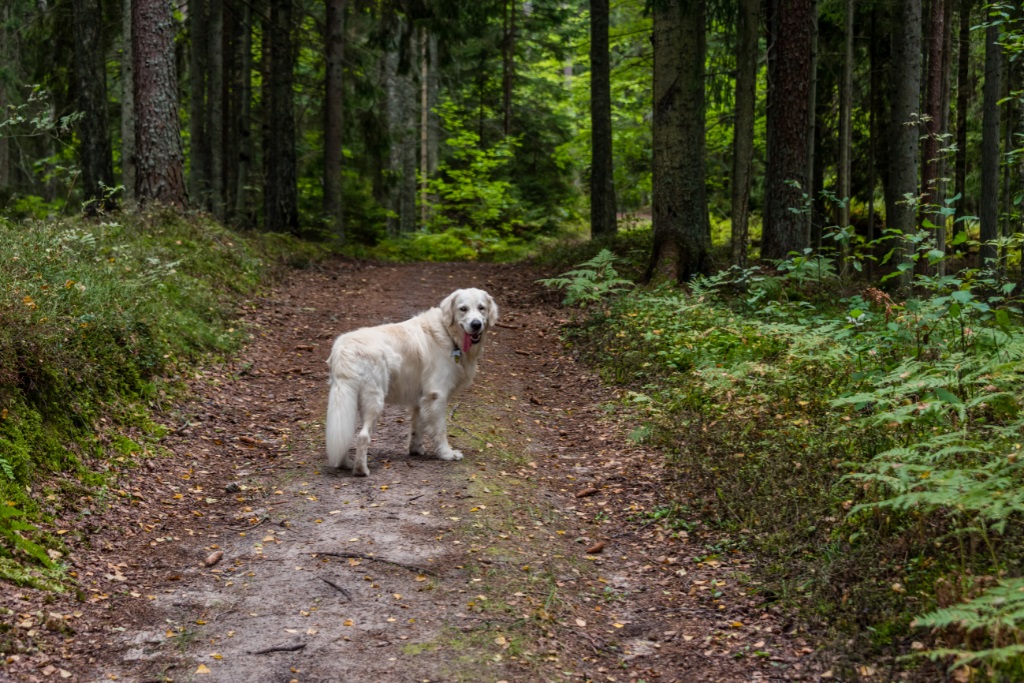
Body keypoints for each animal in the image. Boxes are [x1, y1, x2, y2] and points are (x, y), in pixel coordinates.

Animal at [319, 286, 495, 475]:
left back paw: (345, 464)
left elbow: (417, 427)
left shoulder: (421, 399)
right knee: (363, 436)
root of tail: (345, 347)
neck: (448, 334)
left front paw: (416, 450)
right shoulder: (437, 396)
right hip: (374, 400)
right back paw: (361, 470)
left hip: (349, 401)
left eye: (482, 308)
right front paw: (447, 453)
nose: (476, 324)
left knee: (345, 435)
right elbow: (440, 429)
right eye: (463, 309)